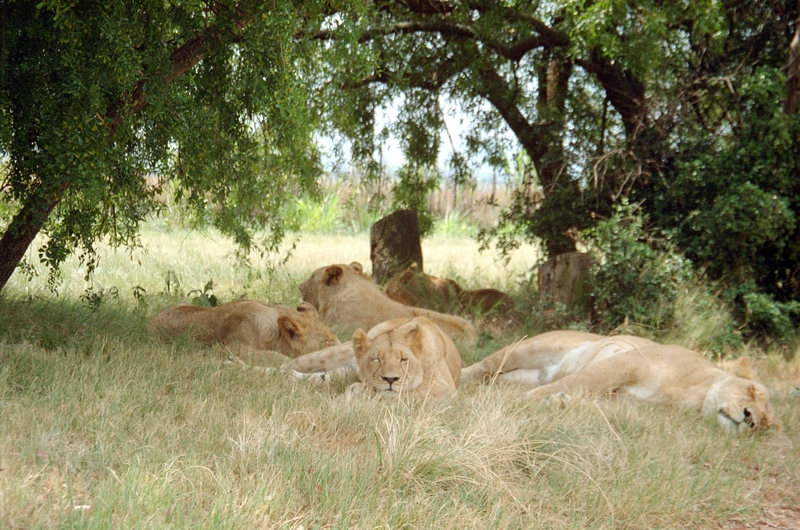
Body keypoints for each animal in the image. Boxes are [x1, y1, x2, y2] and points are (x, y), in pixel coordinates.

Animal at [460, 330, 780, 434]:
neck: (693, 398)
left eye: (763, 424)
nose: (749, 419)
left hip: (520, 376)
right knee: (482, 366)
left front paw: (559, 403)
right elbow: (581, 381)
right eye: (752, 392)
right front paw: (532, 402)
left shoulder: (627, 404)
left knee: (495, 379)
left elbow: (593, 404)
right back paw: (458, 378)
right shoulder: (630, 362)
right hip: (530, 348)